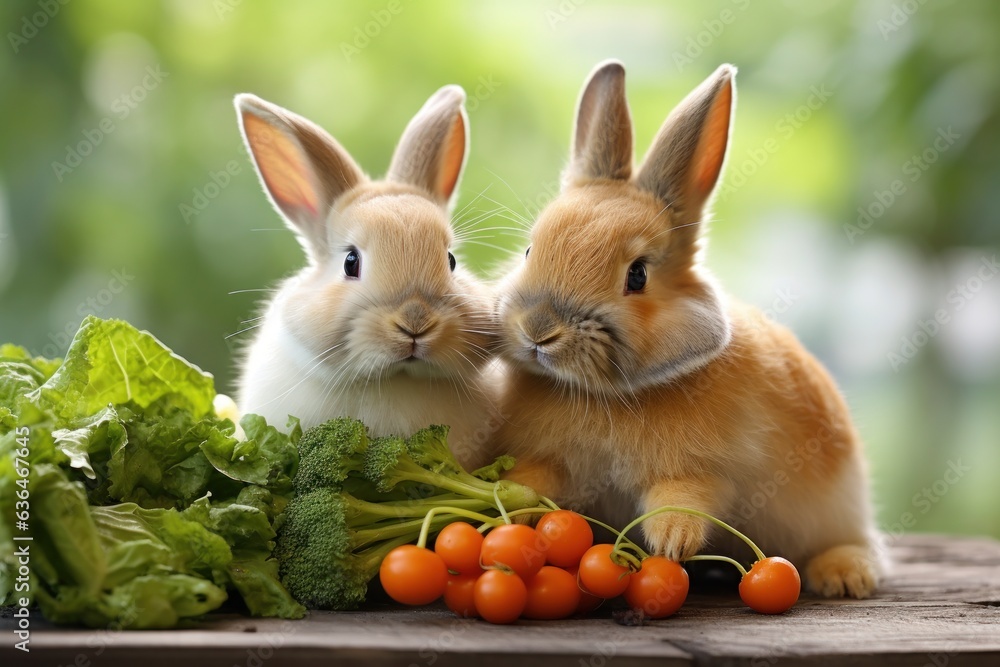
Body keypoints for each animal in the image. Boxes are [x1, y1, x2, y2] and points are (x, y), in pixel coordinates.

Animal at [494, 60, 884, 596]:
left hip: (836, 507)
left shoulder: (706, 472)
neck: (599, 392)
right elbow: (533, 484)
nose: (539, 330)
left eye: (637, 274)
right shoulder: (545, 459)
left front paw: (672, 543)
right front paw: (505, 509)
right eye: (532, 249)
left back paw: (844, 575)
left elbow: (684, 497)